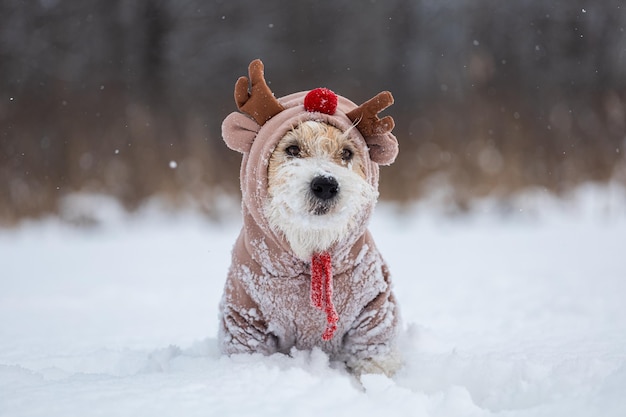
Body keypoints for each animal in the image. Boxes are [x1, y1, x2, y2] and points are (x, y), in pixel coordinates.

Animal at [214, 60, 400, 376]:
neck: (311, 248)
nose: (325, 184)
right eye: (292, 149)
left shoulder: (374, 314)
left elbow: (374, 363)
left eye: (346, 153)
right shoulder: (244, 320)